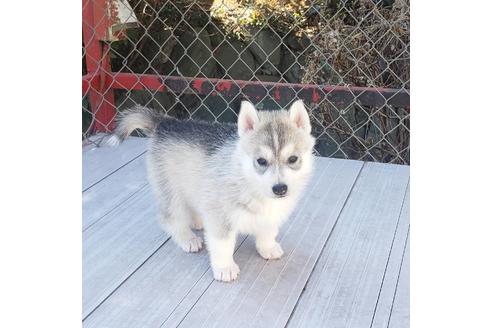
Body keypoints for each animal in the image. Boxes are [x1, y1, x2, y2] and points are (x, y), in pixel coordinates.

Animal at [111, 100, 316, 282]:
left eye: (293, 159)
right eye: (261, 161)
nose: (280, 189)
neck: (250, 183)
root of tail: (165, 122)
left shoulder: (269, 215)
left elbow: (267, 231)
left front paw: (268, 247)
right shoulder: (220, 217)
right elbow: (223, 245)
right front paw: (225, 268)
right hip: (171, 190)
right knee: (170, 218)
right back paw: (187, 238)